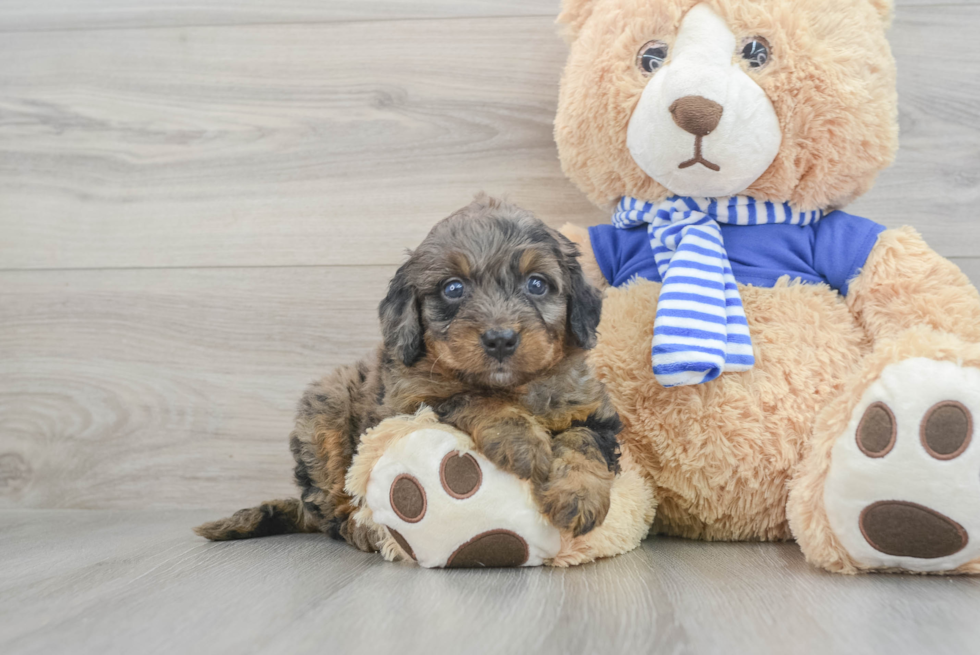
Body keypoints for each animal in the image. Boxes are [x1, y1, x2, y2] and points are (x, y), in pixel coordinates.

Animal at [197, 197, 620, 552]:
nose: (500, 339)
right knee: (331, 506)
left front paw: (578, 497)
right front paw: (522, 442)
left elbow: (584, 440)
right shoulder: (409, 403)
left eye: (536, 284)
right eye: (453, 288)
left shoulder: (592, 408)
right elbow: (471, 397)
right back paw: (361, 530)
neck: (514, 385)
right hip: (324, 414)